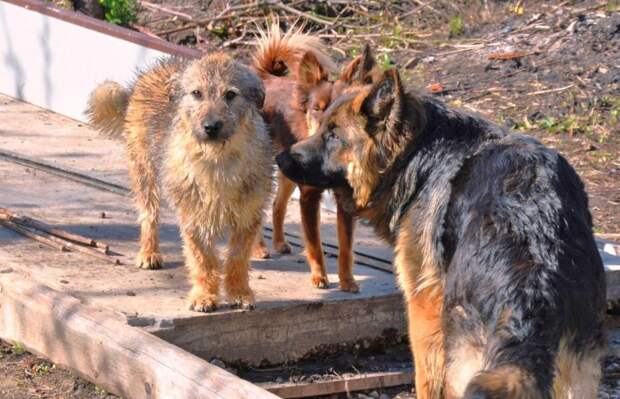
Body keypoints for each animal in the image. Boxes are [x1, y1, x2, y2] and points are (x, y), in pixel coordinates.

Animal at [87, 53, 272, 312]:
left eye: (230, 94)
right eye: (196, 93)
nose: (211, 126)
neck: (216, 160)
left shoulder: (248, 215)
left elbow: (237, 258)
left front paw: (239, 292)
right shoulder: (193, 216)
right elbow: (203, 260)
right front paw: (204, 295)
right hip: (145, 173)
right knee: (149, 215)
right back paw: (149, 252)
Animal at [252, 25, 378, 294]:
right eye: (317, 109)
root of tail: (265, 77)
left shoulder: (345, 200)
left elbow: (346, 247)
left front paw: (347, 280)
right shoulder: (309, 197)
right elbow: (315, 243)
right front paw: (320, 276)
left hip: (287, 171)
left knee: (277, 205)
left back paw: (279, 242)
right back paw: (259, 247)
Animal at [276, 65, 604, 396]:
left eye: (333, 135)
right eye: (320, 125)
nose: (280, 158)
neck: (419, 154)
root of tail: (532, 287)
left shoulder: (423, 308)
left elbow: (425, 377)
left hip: (463, 361)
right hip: (576, 373)